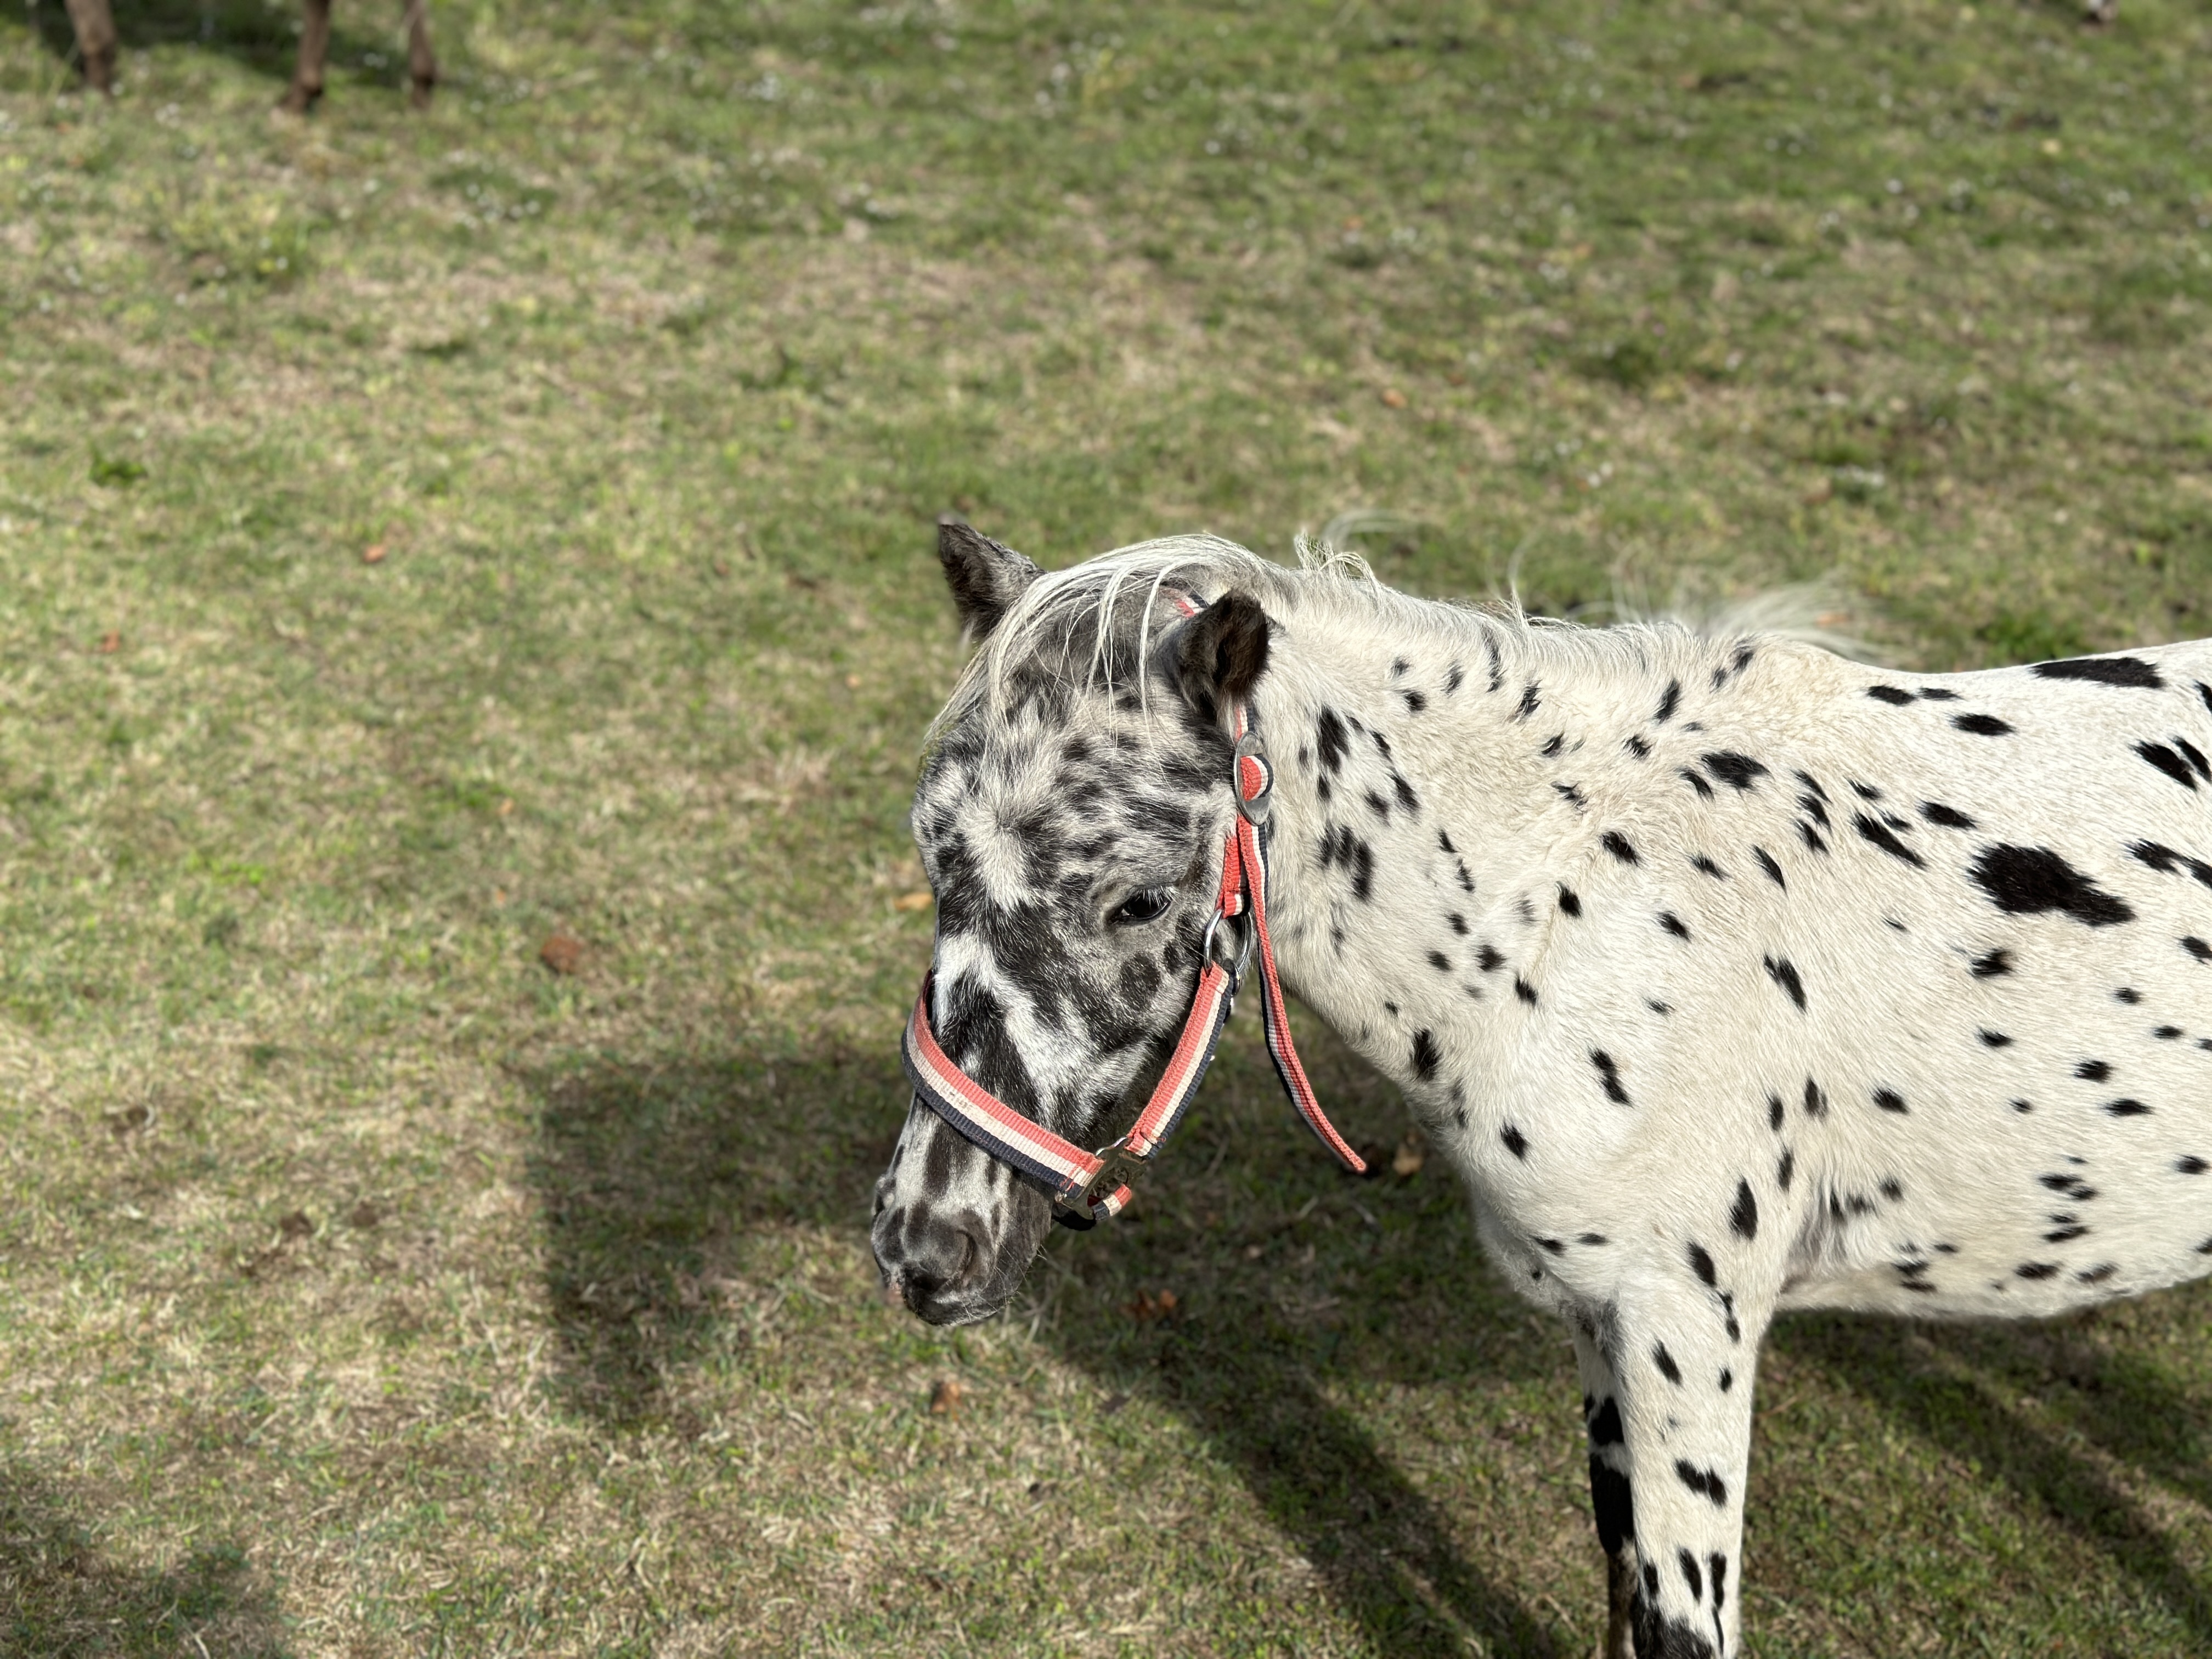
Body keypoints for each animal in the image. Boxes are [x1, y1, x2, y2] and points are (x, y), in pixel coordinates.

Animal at [873, 521, 2212, 1657]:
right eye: (934, 852)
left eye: (1139, 899)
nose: (924, 1247)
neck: (1590, 910)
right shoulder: (1602, 1321)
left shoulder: (1689, 1329)